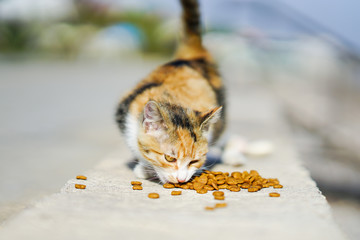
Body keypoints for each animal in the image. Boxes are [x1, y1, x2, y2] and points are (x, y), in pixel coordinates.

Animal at [115, 0, 225, 184]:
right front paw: (143, 168)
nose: (181, 180)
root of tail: (189, 57)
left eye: (194, 161)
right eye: (170, 158)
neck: (174, 99)